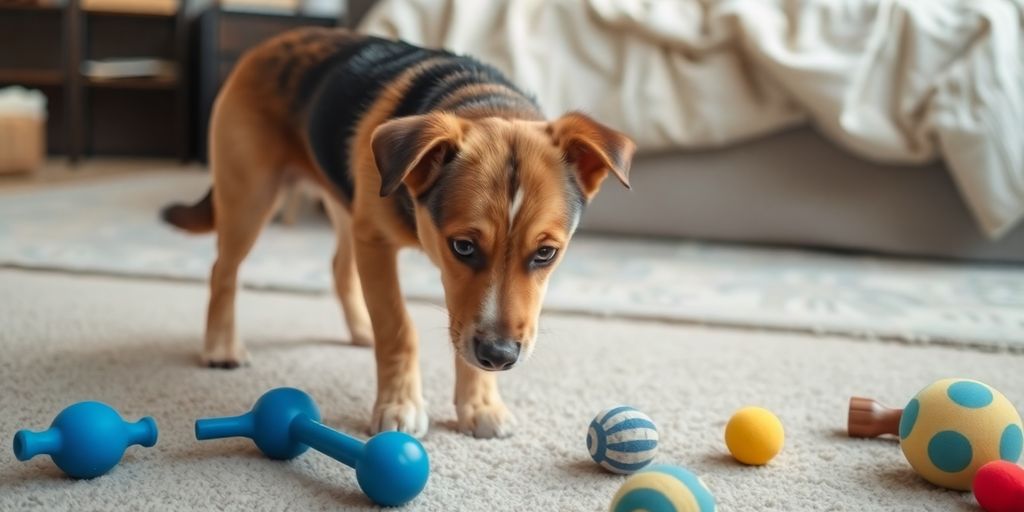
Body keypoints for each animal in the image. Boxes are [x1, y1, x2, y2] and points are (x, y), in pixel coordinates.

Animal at [161, 28, 630, 438]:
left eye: (546, 254)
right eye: (463, 246)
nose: (499, 357)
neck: (480, 99)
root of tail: (269, 44)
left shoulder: (381, 246)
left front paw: (480, 405)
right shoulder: (377, 242)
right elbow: (397, 327)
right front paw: (400, 405)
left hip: (343, 206)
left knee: (338, 268)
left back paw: (359, 330)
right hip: (250, 196)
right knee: (223, 271)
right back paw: (221, 347)